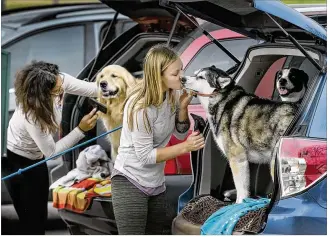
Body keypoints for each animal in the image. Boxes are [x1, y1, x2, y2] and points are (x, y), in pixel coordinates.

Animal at [180, 65, 300, 203]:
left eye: (200, 77)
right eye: (194, 74)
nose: (182, 79)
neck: (221, 101)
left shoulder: (237, 159)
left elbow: (241, 189)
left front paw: (239, 203)